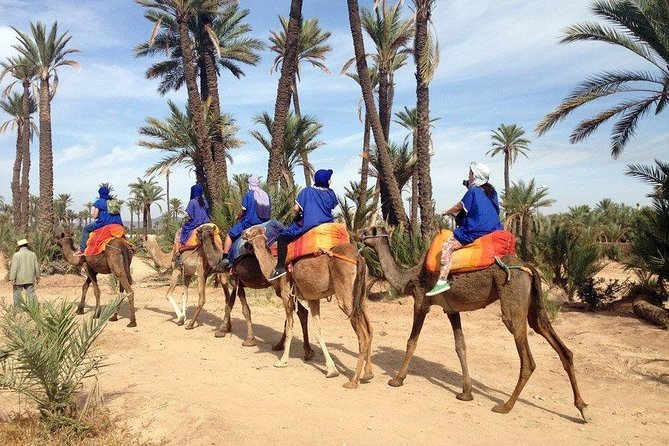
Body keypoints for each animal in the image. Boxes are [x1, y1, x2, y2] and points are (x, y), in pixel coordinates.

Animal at [197, 226, 314, 358]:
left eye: (200, 230)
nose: (196, 234)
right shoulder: (236, 283)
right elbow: (228, 306)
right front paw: (222, 330)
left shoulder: (235, 281)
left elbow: (245, 310)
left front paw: (249, 340)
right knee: (301, 312)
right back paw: (301, 350)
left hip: (282, 284)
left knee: (296, 311)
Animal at [243, 225, 374, 388]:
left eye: (251, 230)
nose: (242, 233)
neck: (272, 268)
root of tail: (358, 258)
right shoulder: (313, 298)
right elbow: (318, 332)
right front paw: (331, 369)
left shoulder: (286, 294)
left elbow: (290, 327)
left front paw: (282, 360)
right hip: (361, 295)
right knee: (369, 330)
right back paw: (368, 374)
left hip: (346, 293)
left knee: (362, 335)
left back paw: (353, 381)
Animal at [358, 226, 588, 422]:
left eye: (368, 232)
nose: (357, 235)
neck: (409, 277)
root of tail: (527, 266)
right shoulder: (451, 309)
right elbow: (461, 346)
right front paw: (466, 393)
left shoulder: (421, 302)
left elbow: (411, 341)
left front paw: (397, 379)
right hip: (533, 303)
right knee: (557, 343)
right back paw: (582, 408)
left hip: (512, 297)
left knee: (527, 358)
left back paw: (505, 406)